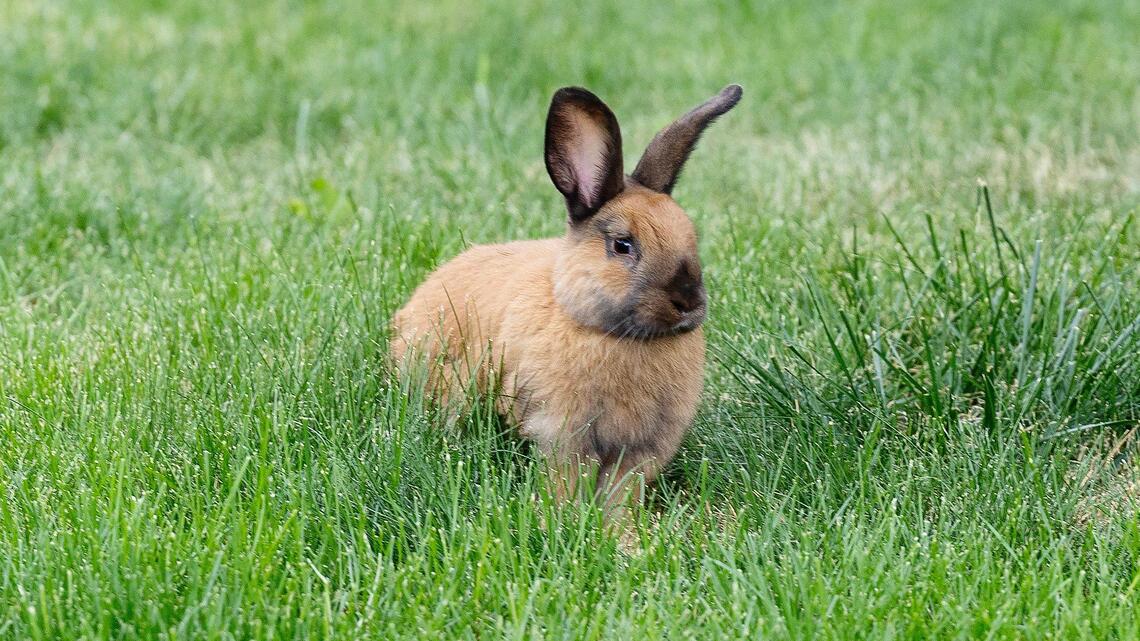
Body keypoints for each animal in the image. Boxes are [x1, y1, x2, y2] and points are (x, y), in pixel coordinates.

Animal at [391, 84, 742, 517]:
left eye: (691, 237)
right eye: (622, 245)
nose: (688, 302)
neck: (611, 334)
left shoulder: (640, 450)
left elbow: (621, 492)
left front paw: (619, 529)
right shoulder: (564, 434)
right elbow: (567, 481)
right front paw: (567, 518)